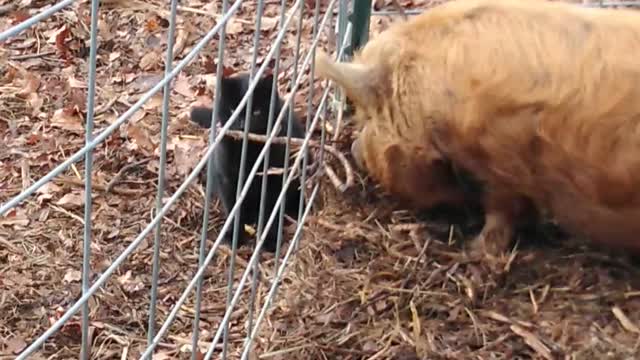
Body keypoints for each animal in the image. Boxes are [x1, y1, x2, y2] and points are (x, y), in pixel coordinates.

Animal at [190, 71, 308, 253]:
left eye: (256, 112)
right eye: (233, 109)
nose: (242, 124)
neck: (248, 153)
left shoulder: (275, 180)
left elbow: (270, 211)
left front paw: (270, 239)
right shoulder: (227, 180)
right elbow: (233, 208)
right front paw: (233, 235)